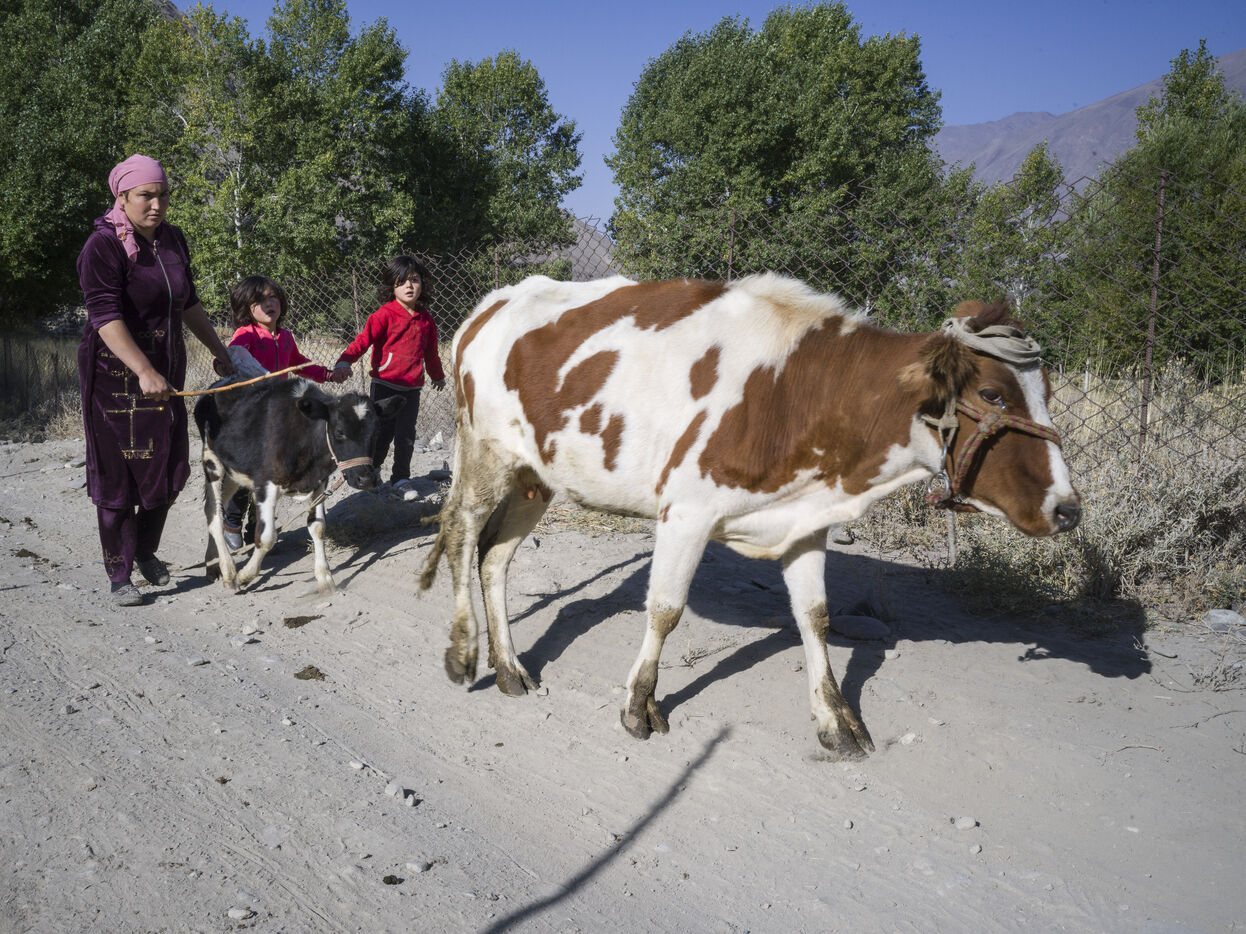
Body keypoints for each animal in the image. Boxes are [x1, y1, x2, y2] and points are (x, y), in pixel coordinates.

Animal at [194, 379, 403, 593]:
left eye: (376, 432)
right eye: (340, 432)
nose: (366, 479)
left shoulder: (320, 483)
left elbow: (318, 527)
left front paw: (325, 578)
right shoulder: (265, 483)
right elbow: (267, 537)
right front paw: (244, 576)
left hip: (233, 472)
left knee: (219, 505)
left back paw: (212, 565)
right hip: (212, 462)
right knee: (213, 513)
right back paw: (228, 571)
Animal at [419, 273, 1081, 759]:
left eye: (1047, 390)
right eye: (993, 394)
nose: (1067, 508)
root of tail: (493, 303)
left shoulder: (805, 521)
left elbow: (815, 618)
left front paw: (835, 720)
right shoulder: (686, 510)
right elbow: (665, 610)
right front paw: (639, 706)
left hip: (536, 477)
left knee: (495, 557)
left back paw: (511, 668)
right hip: (487, 454)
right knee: (461, 534)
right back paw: (464, 655)